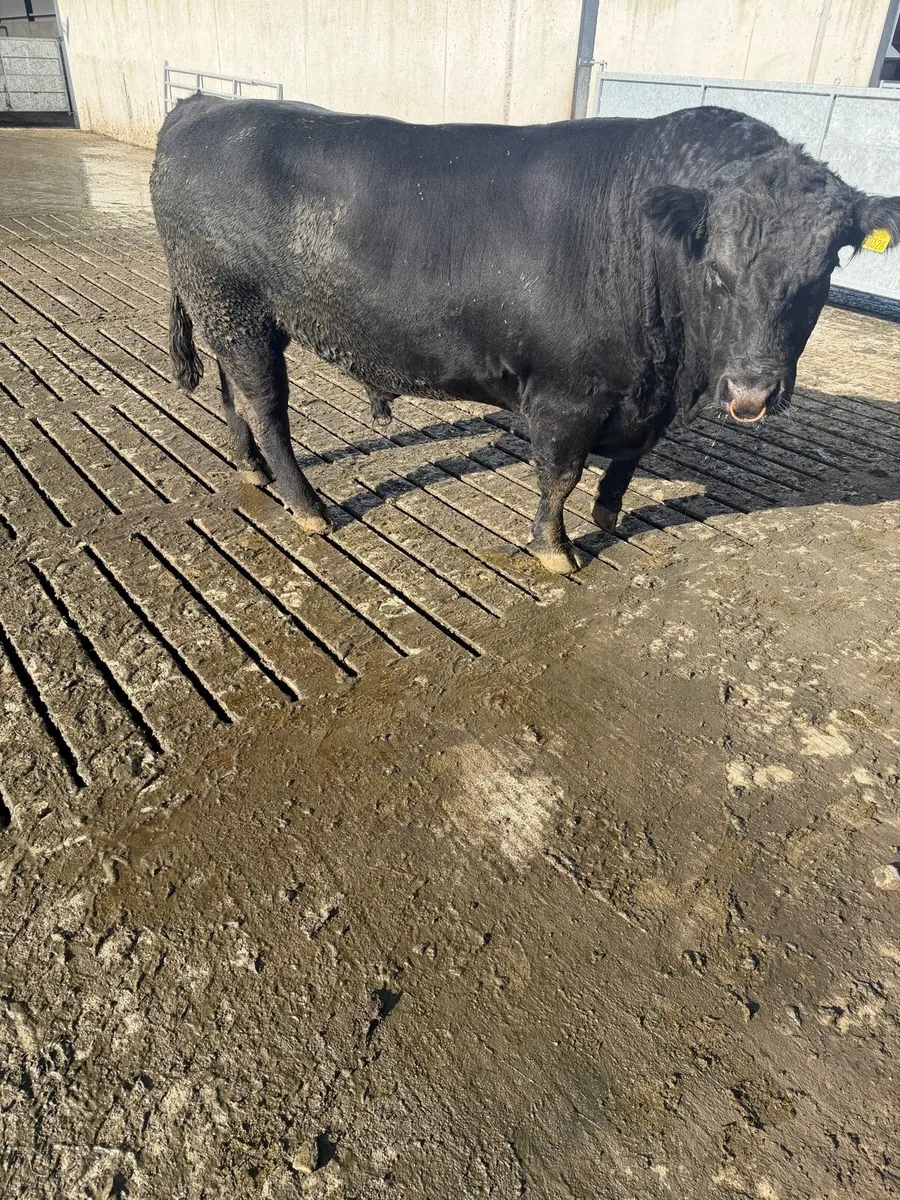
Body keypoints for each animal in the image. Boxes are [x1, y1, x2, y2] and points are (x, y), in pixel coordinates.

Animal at [150, 96, 899, 573]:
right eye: (714, 269)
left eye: (822, 273)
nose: (751, 391)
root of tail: (202, 105)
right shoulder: (567, 395)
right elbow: (558, 476)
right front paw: (556, 551)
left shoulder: (641, 399)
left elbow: (627, 462)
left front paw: (607, 516)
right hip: (235, 307)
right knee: (268, 407)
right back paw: (307, 507)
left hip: (232, 315)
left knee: (234, 396)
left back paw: (250, 470)